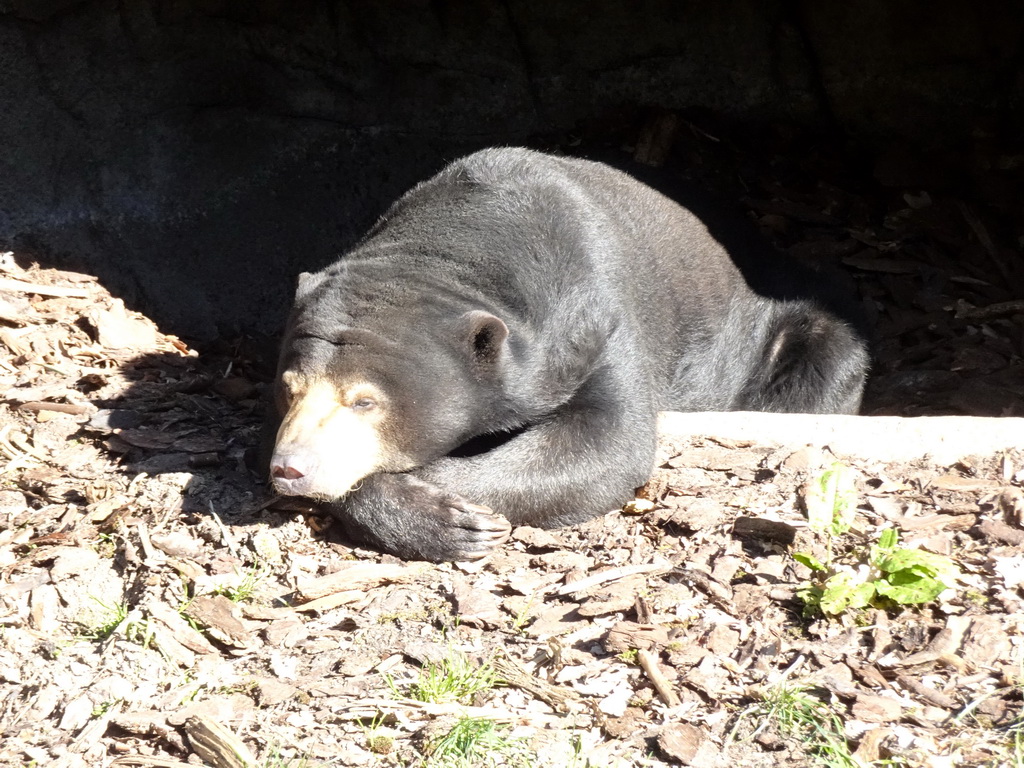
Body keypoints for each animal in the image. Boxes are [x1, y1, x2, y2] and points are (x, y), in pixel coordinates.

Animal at [268, 147, 868, 561]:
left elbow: (602, 441)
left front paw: (462, 514)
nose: (290, 468)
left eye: (364, 401)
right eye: (289, 389)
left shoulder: (598, 319)